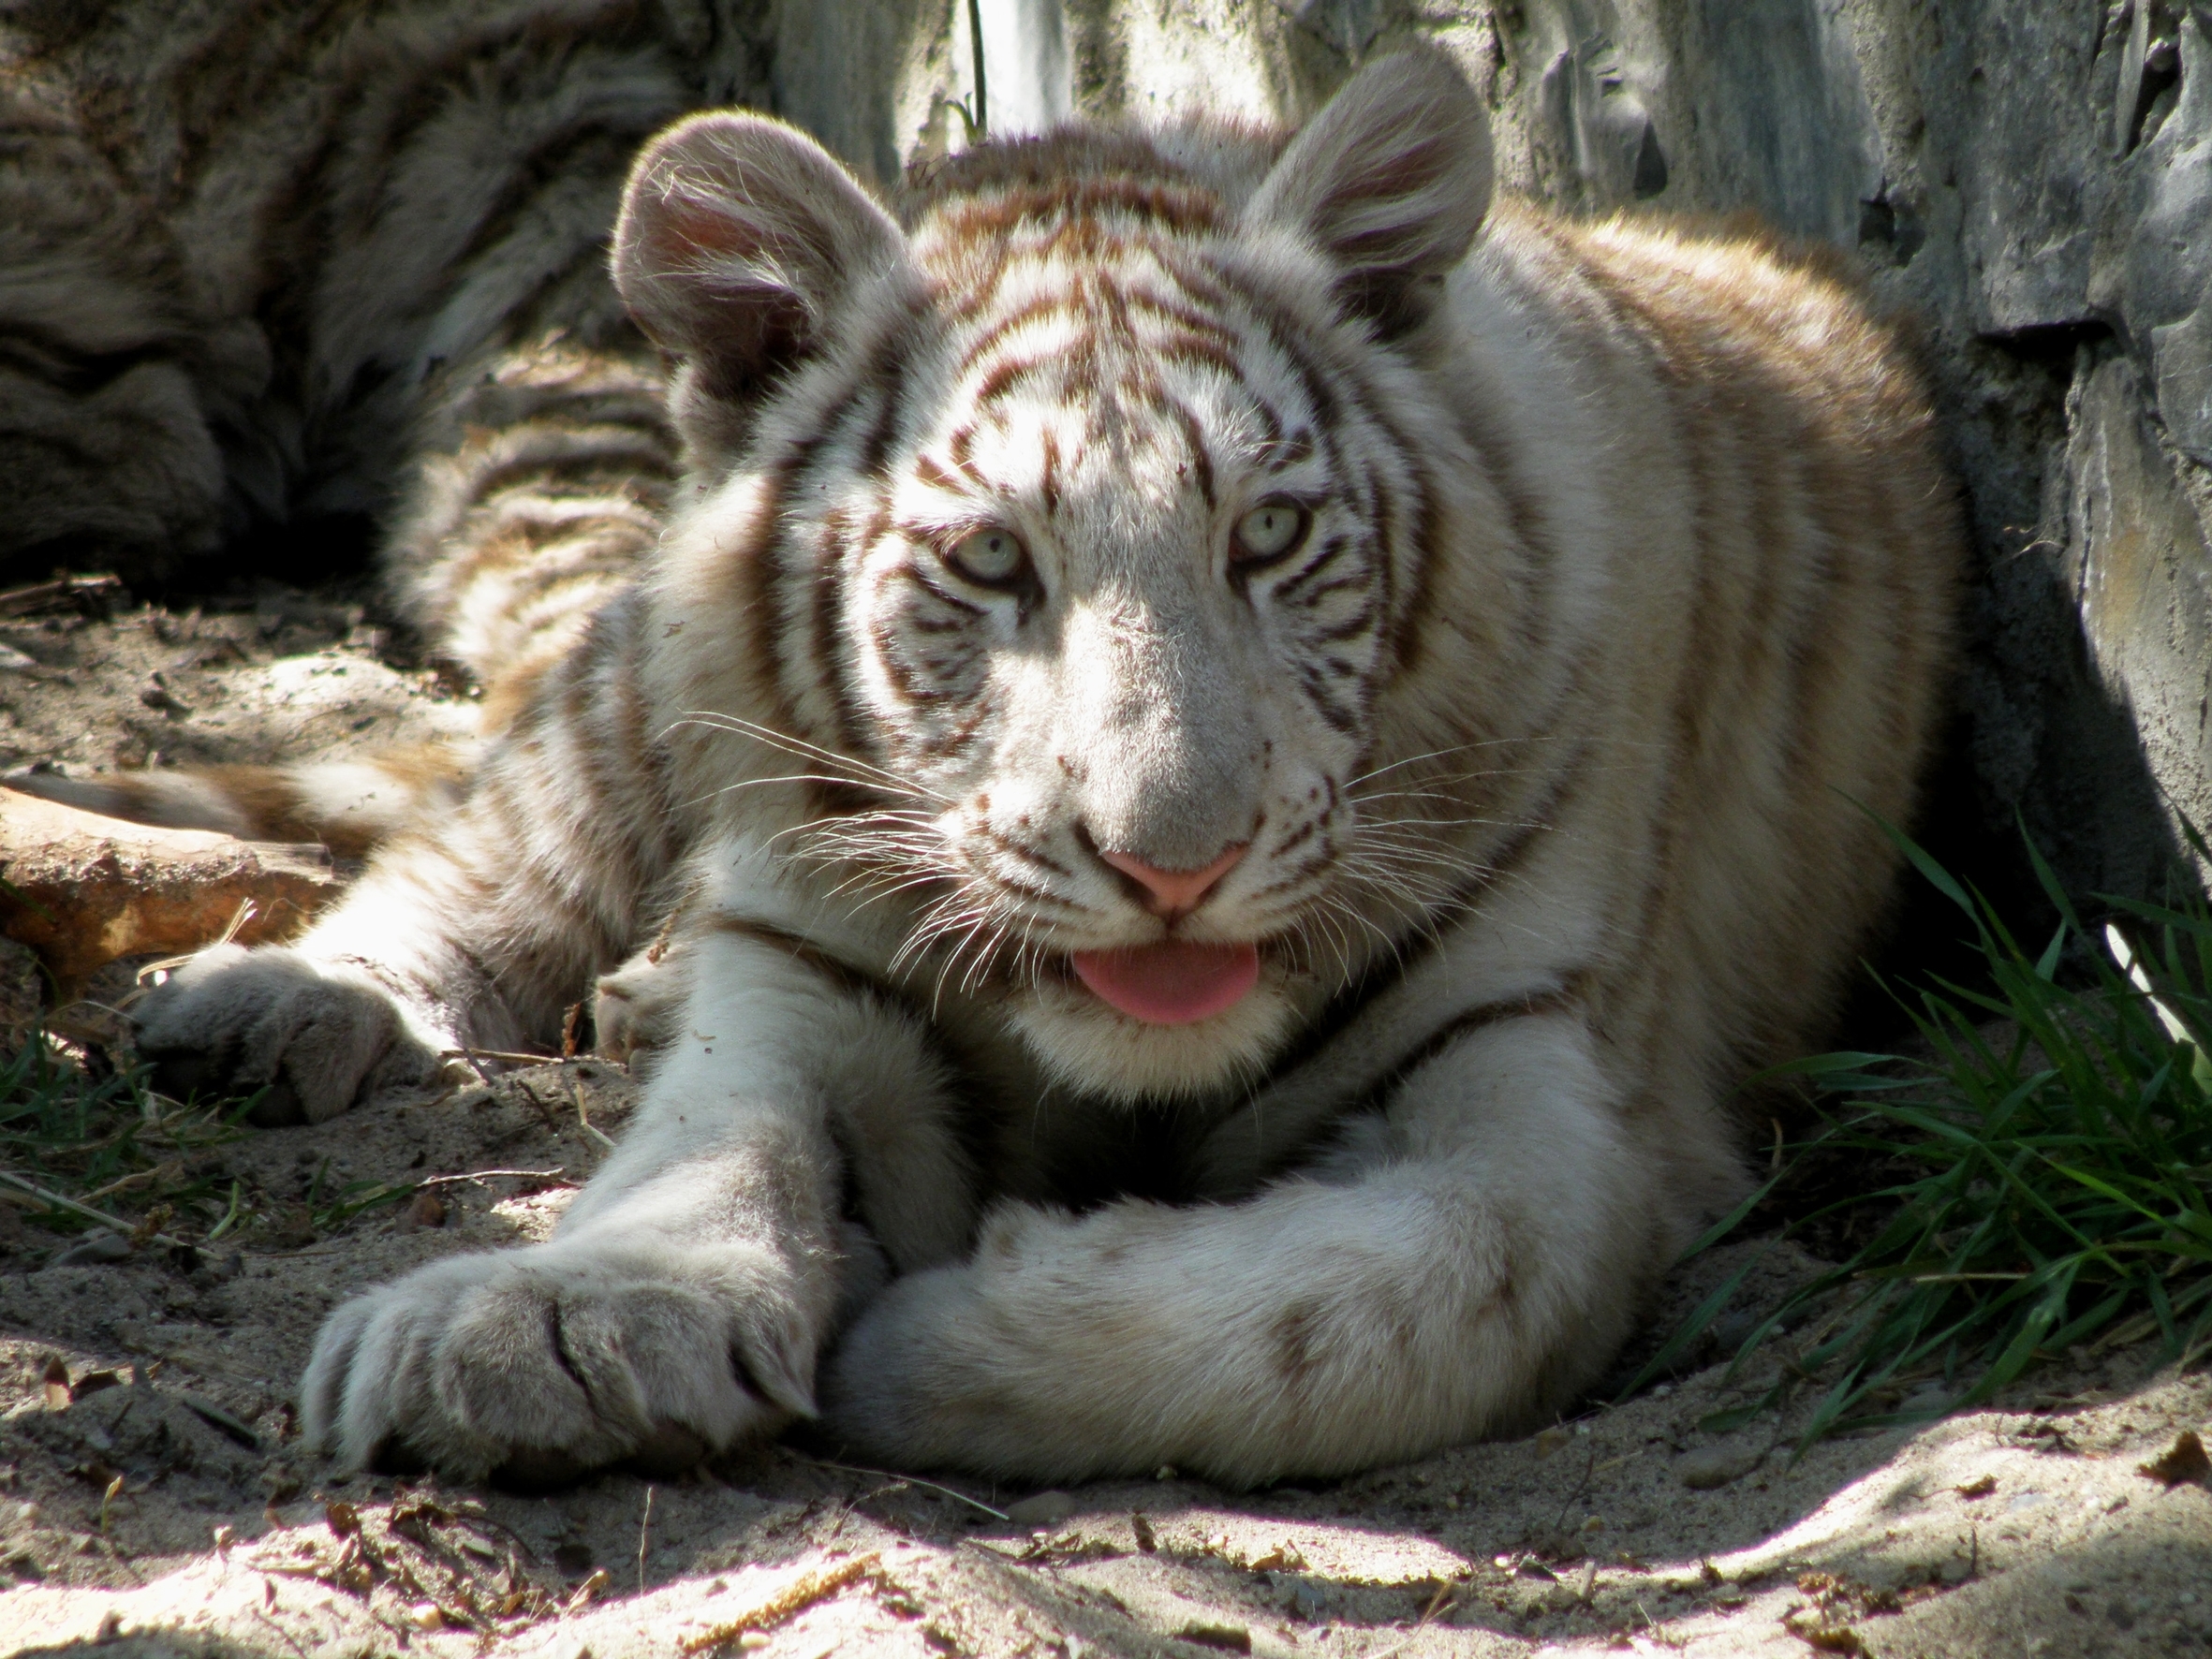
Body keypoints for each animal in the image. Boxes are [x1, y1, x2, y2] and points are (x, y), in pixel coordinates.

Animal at [8, 47, 1958, 1487]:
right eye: (994, 562)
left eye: (1267, 538)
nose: (1173, 862)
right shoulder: (805, 967)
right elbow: (705, 1149)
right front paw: (544, 1323)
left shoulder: (1555, 1090)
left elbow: (1378, 1306)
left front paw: (929, 1337)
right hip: (635, 683)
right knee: (502, 842)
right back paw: (284, 1001)